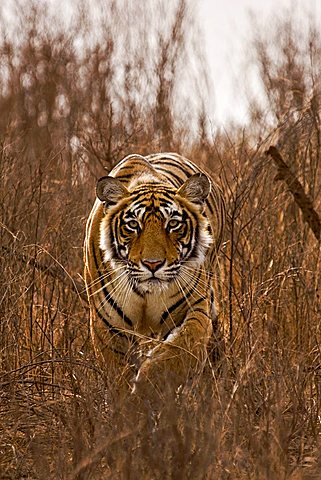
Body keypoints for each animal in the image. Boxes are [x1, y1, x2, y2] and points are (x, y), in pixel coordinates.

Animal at [84, 154, 226, 390]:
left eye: (173, 224)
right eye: (133, 225)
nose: (152, 264)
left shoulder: (195, 306)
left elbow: (182, 348)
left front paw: (149, 387)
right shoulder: (109, 325)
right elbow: (118, 378)